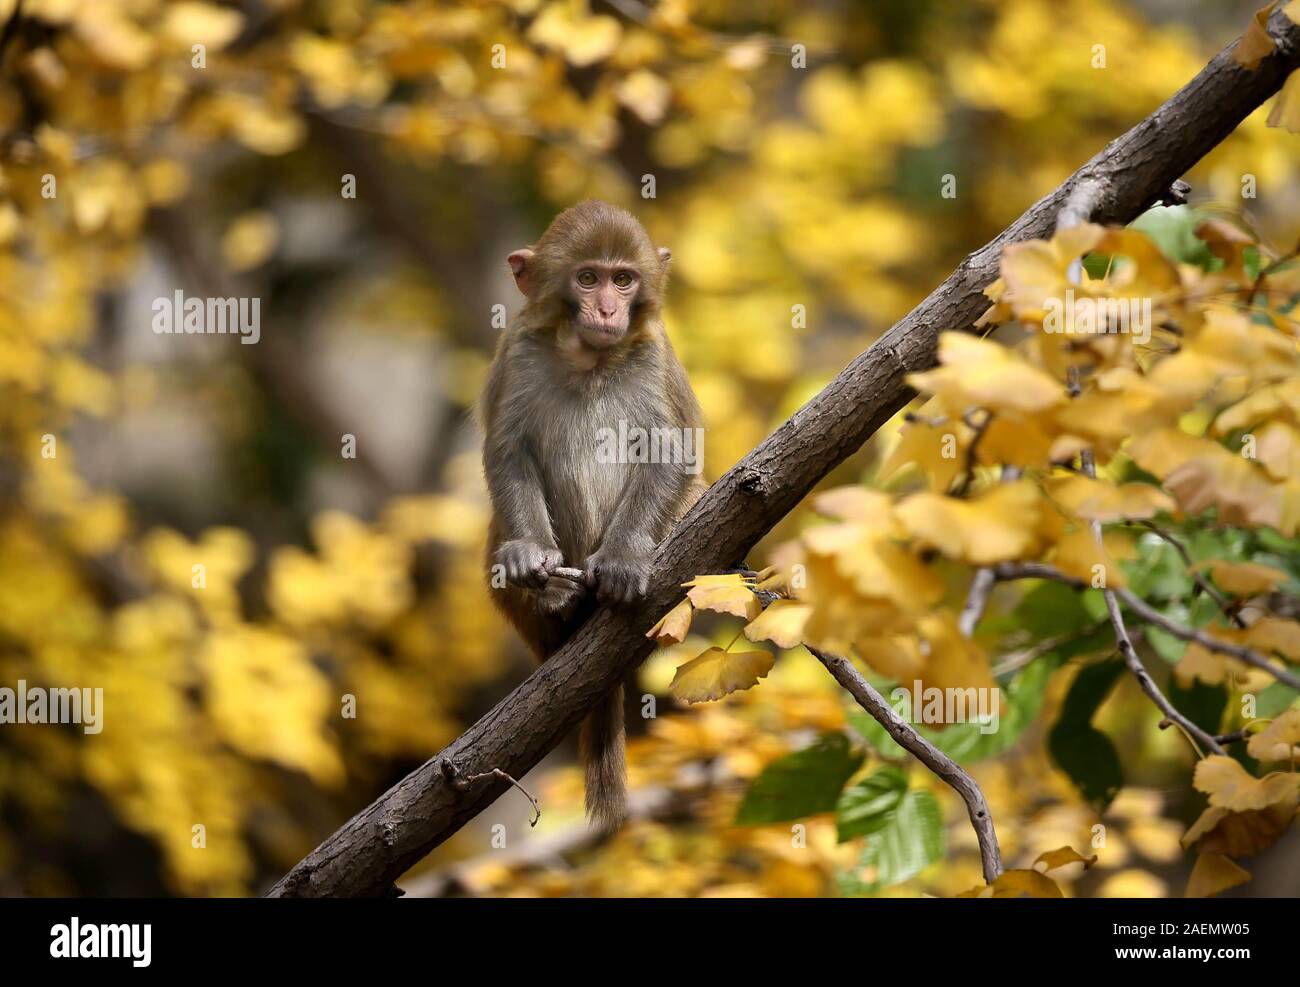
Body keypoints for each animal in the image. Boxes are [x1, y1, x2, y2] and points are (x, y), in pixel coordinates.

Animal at [480, 196, 707, 832]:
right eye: (588, 278)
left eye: (623, 280)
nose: (607, 308)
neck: (588, 357)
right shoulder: (519, 351)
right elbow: (507, 450)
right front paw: (530, 558)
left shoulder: (652, 356)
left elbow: (672, 452)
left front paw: (626, 560)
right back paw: (559, 604)